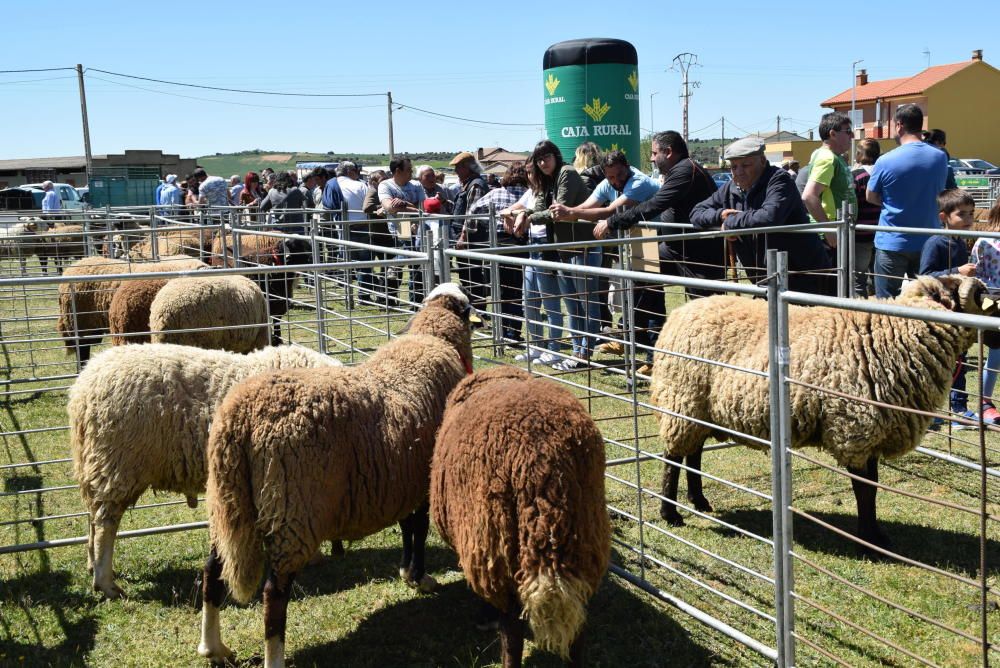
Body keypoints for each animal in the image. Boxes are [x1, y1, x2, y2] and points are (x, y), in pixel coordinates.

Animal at [67, 342, 340, 596]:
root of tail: (82, 389)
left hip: (98, 465)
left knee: (93, 518)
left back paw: (92, 565)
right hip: (119, 464)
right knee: (105, 525)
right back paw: (106, 583)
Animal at [432, 368, 608, 664]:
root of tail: (543, 460)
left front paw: (484, 617)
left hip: (495, 541)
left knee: (511, 628)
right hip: (585, 539)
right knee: (578, 631)